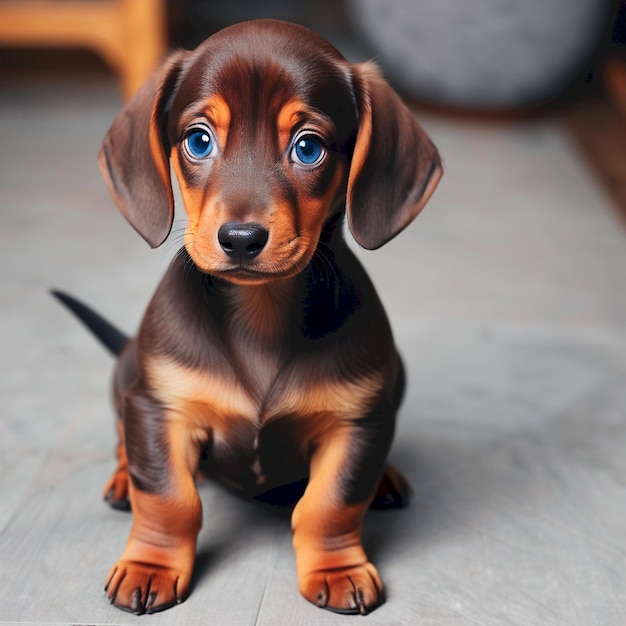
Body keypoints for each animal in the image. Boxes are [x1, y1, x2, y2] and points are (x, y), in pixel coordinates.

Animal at [62, 18, 438, 616]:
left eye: (308, 147)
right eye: (198, 140)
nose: (240, 239)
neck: (261, 315)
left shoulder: (357, 421)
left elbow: (331, 503)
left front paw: (337, 567)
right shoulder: (160, 407)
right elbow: (168, 497)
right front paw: (151, 564)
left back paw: (387, 479)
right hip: (128, 377)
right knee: (126, 440)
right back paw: (123, 479)